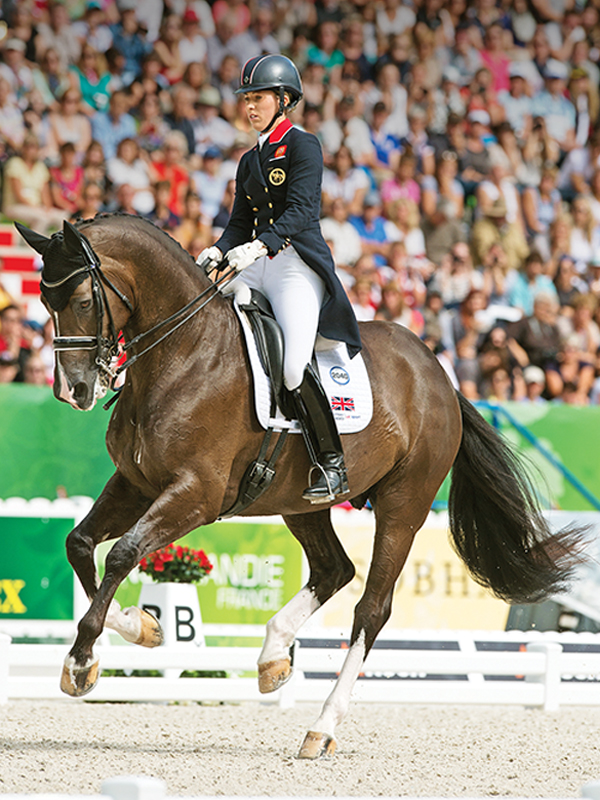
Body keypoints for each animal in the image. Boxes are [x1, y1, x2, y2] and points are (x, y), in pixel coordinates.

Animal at [17, 215, 583, 759]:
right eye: (43, 302)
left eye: (84, 301)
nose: (72, 391)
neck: (184, 353)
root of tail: (438, 373)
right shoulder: (135, 484)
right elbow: (79, 544)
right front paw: (144, 629)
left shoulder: (196, 494)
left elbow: (122, 553)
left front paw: (80, 662)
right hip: (301, 502)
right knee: (335, 569)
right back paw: (273, 657)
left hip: (404, 505)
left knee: (371, 608)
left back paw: (321, 727)